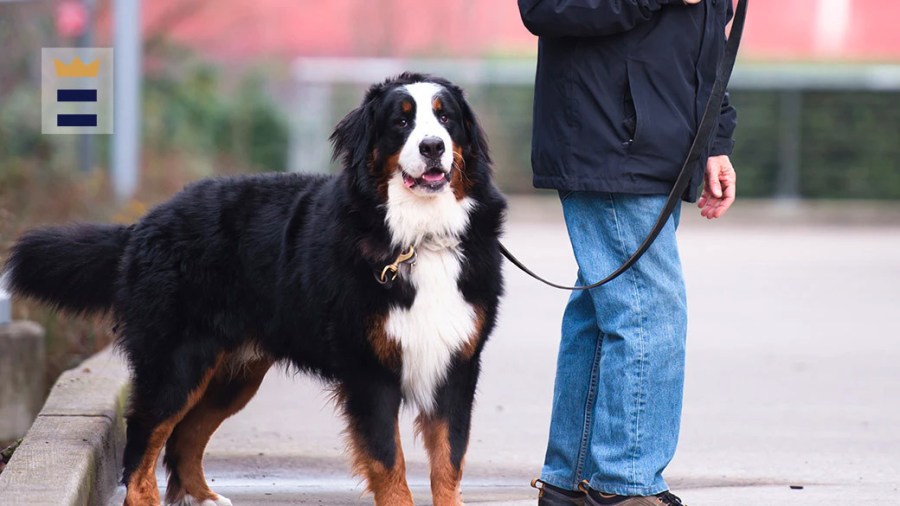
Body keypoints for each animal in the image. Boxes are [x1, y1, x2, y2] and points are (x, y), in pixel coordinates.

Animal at [3, 72, 506, 506]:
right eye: (401, 121)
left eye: (445, 118)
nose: (433, 146)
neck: (420, 236)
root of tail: (145, 221)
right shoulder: (370, 372)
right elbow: (389, 462)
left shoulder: (457, 366)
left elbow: (449, 460)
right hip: (176, 362)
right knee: (145, 437)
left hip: (232, 374)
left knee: (185, 436)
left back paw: (204, 498)